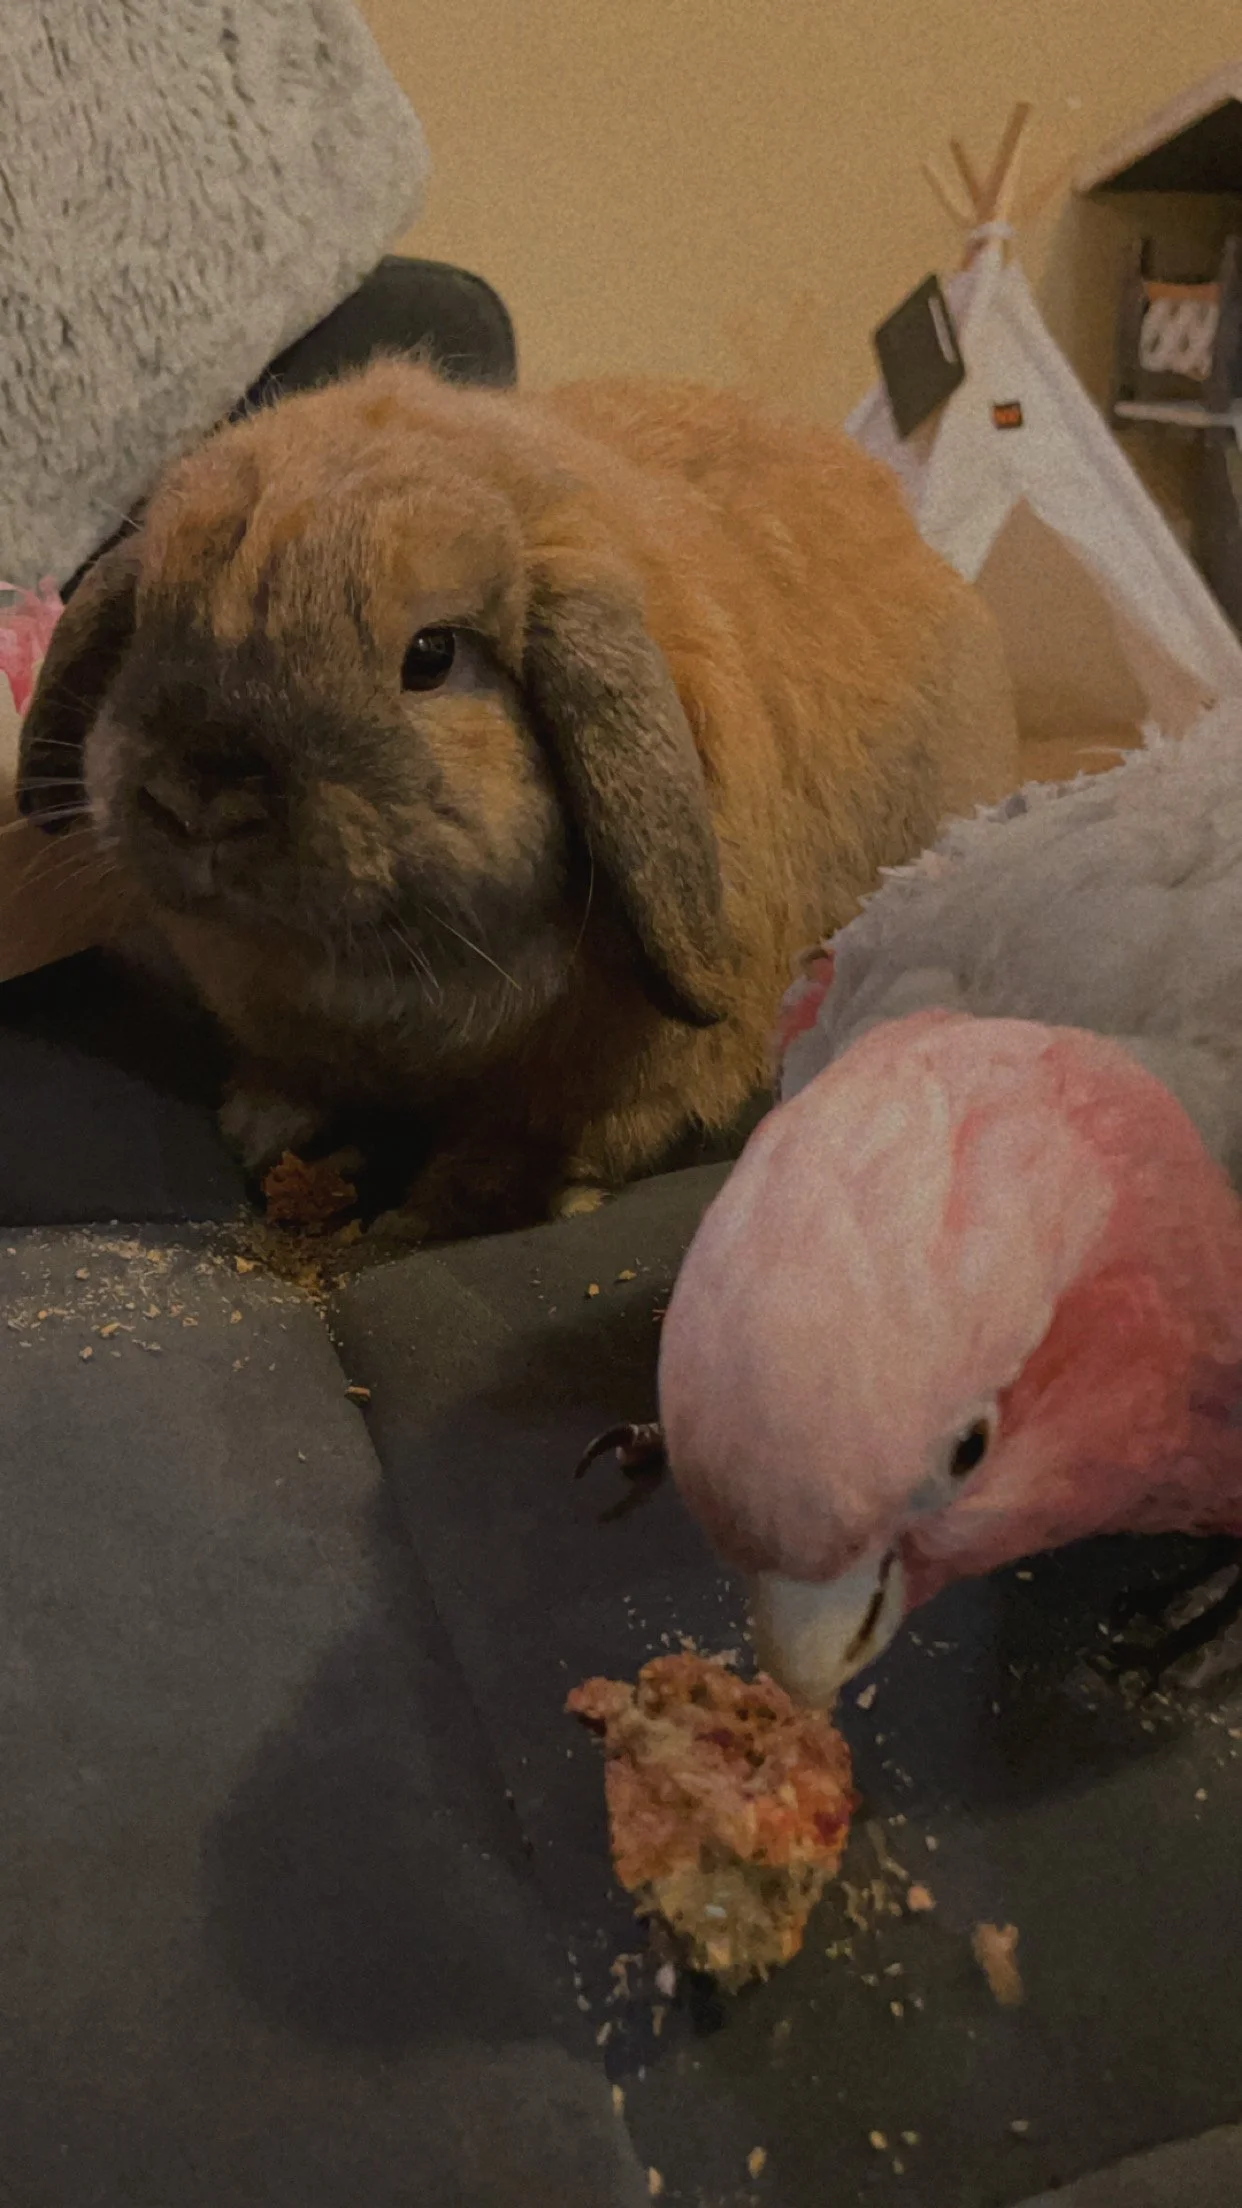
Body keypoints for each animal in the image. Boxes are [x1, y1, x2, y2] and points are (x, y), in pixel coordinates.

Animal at [19, 361, 1018, 1240]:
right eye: (150, 615)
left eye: (431, 655)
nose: (198, 802)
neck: (379, 975)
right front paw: (261, 1126)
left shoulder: (612, 1086)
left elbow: (523, 1149)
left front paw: (431, 1217)